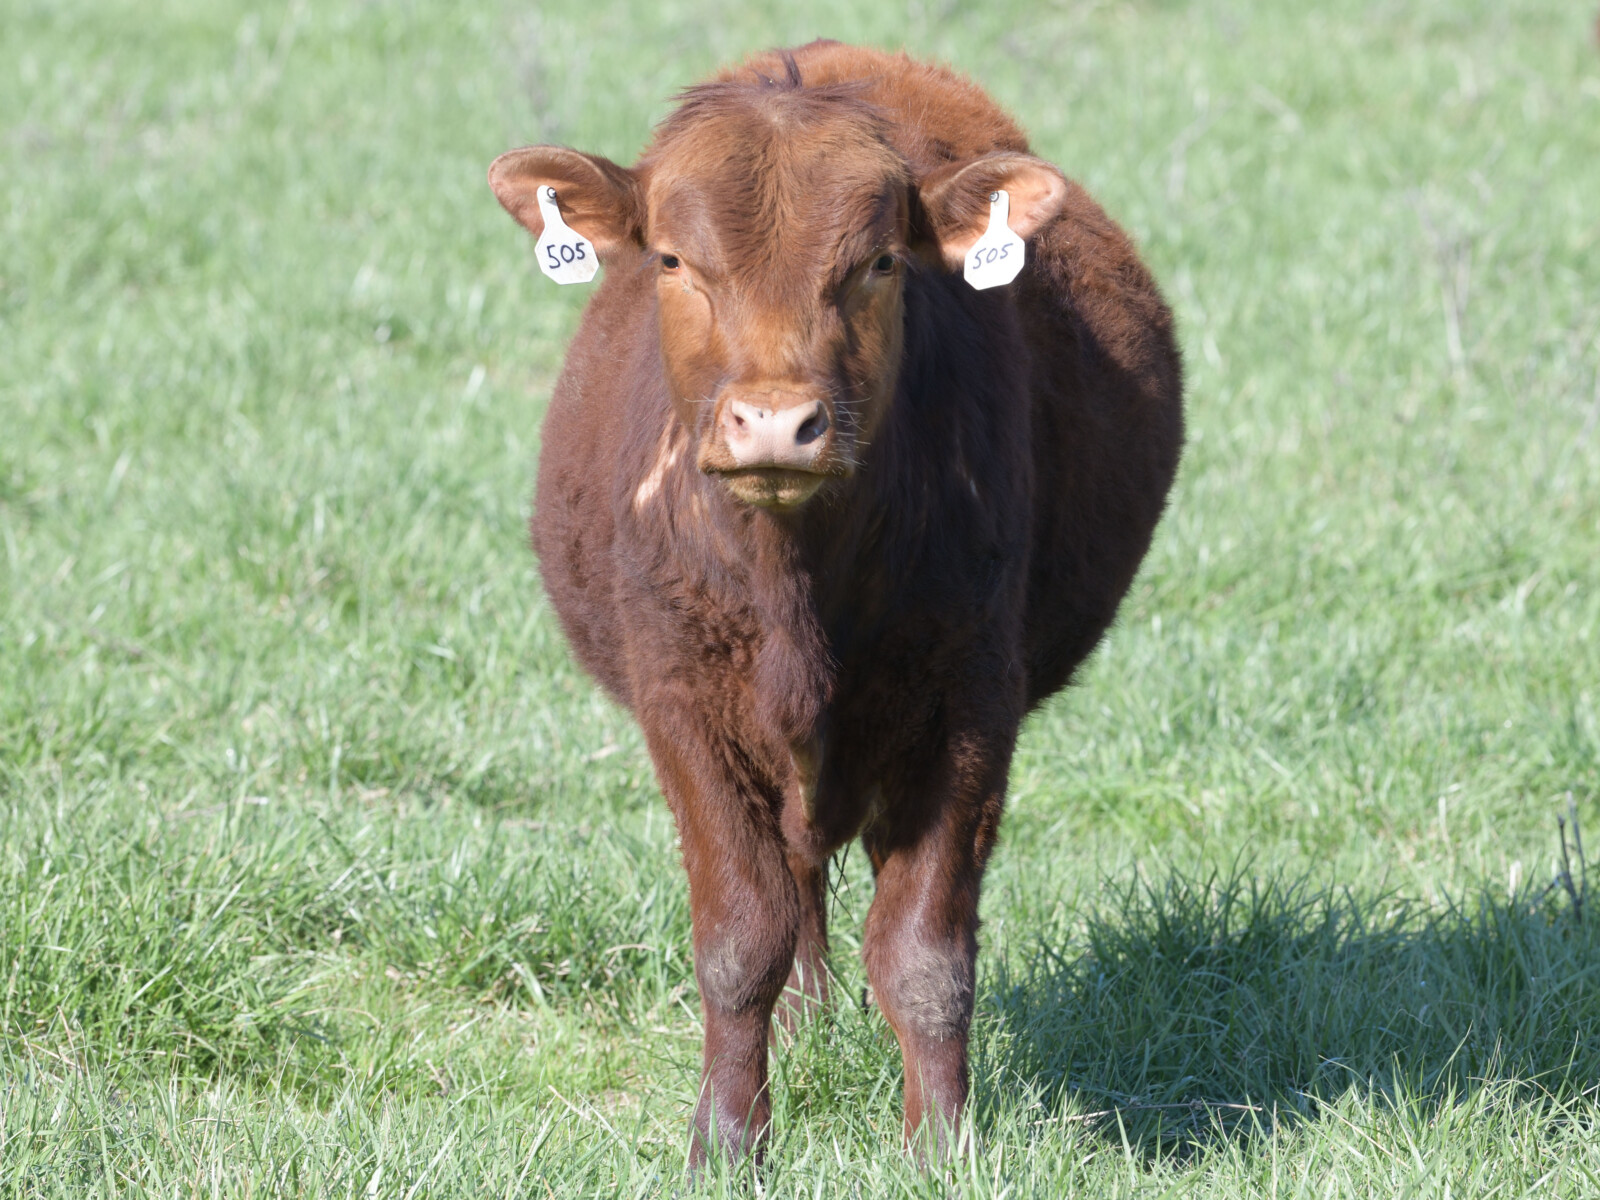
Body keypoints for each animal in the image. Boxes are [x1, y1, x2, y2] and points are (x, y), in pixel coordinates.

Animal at [488, 41, 1183, 1164]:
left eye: (879, 264)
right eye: (672, 261)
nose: (776, 423)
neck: (795, 593)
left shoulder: (970, 706)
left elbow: (925, 954)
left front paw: (941, 1147)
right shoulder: (681, 703)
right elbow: (740, 940)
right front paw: (728, 1141)